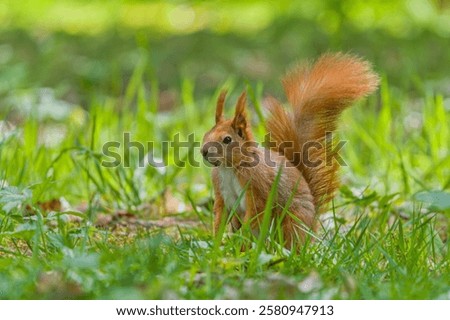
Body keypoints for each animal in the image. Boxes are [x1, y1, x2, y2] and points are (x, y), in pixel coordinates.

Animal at [200, 52, 380, 249]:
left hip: (291, 220)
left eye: (227, 140)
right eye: (207, 133)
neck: (229, 168)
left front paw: (240, 241)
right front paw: (216, 243)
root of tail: (312, 226)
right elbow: (220, 216)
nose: (203, 151)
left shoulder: (258, 187)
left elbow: (256, 212)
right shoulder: (221, 192)